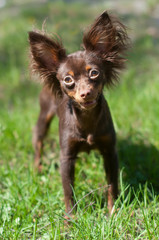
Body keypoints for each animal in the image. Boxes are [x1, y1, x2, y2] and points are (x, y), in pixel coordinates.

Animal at [28, 10, 129, 216]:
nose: (85, 93)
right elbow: (69, 191)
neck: (86, 118)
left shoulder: (109, 151)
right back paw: (37, 167)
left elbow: (112, 185)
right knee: (38, 140)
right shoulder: (67, 157)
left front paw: (112, 212)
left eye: (94, 73)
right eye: (68, 79)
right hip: (44, 116)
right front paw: (70, 218)